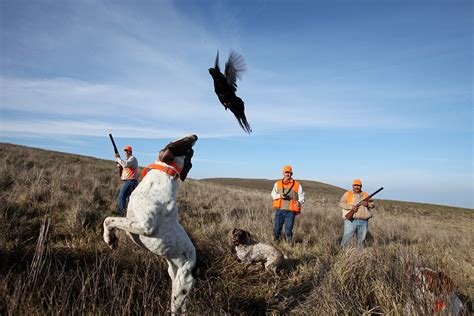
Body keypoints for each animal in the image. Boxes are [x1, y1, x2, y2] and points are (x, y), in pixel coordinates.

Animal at [103, 135, 198, 314]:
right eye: (186, 143)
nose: (195, 136)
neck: (166, 171)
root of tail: (195, 264)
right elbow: (109, 220)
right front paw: (110, 238)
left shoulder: (146, 226)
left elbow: (109, 219)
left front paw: (110, 239)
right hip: (174, 276)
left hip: (180, 289)